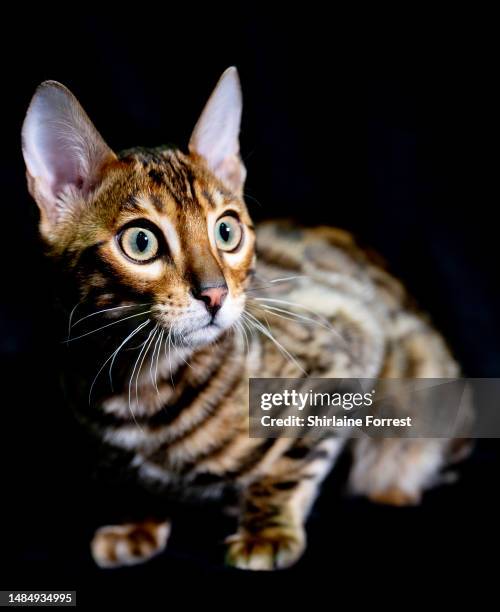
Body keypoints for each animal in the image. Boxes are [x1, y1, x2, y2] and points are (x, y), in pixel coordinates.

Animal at [20, 69, 468, 572]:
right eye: (141, 242)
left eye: (227, 231)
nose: (215, 293)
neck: (141, 385)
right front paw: (136, 522)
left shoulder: (347, 341)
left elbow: (290, 462)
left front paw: (266, 531)